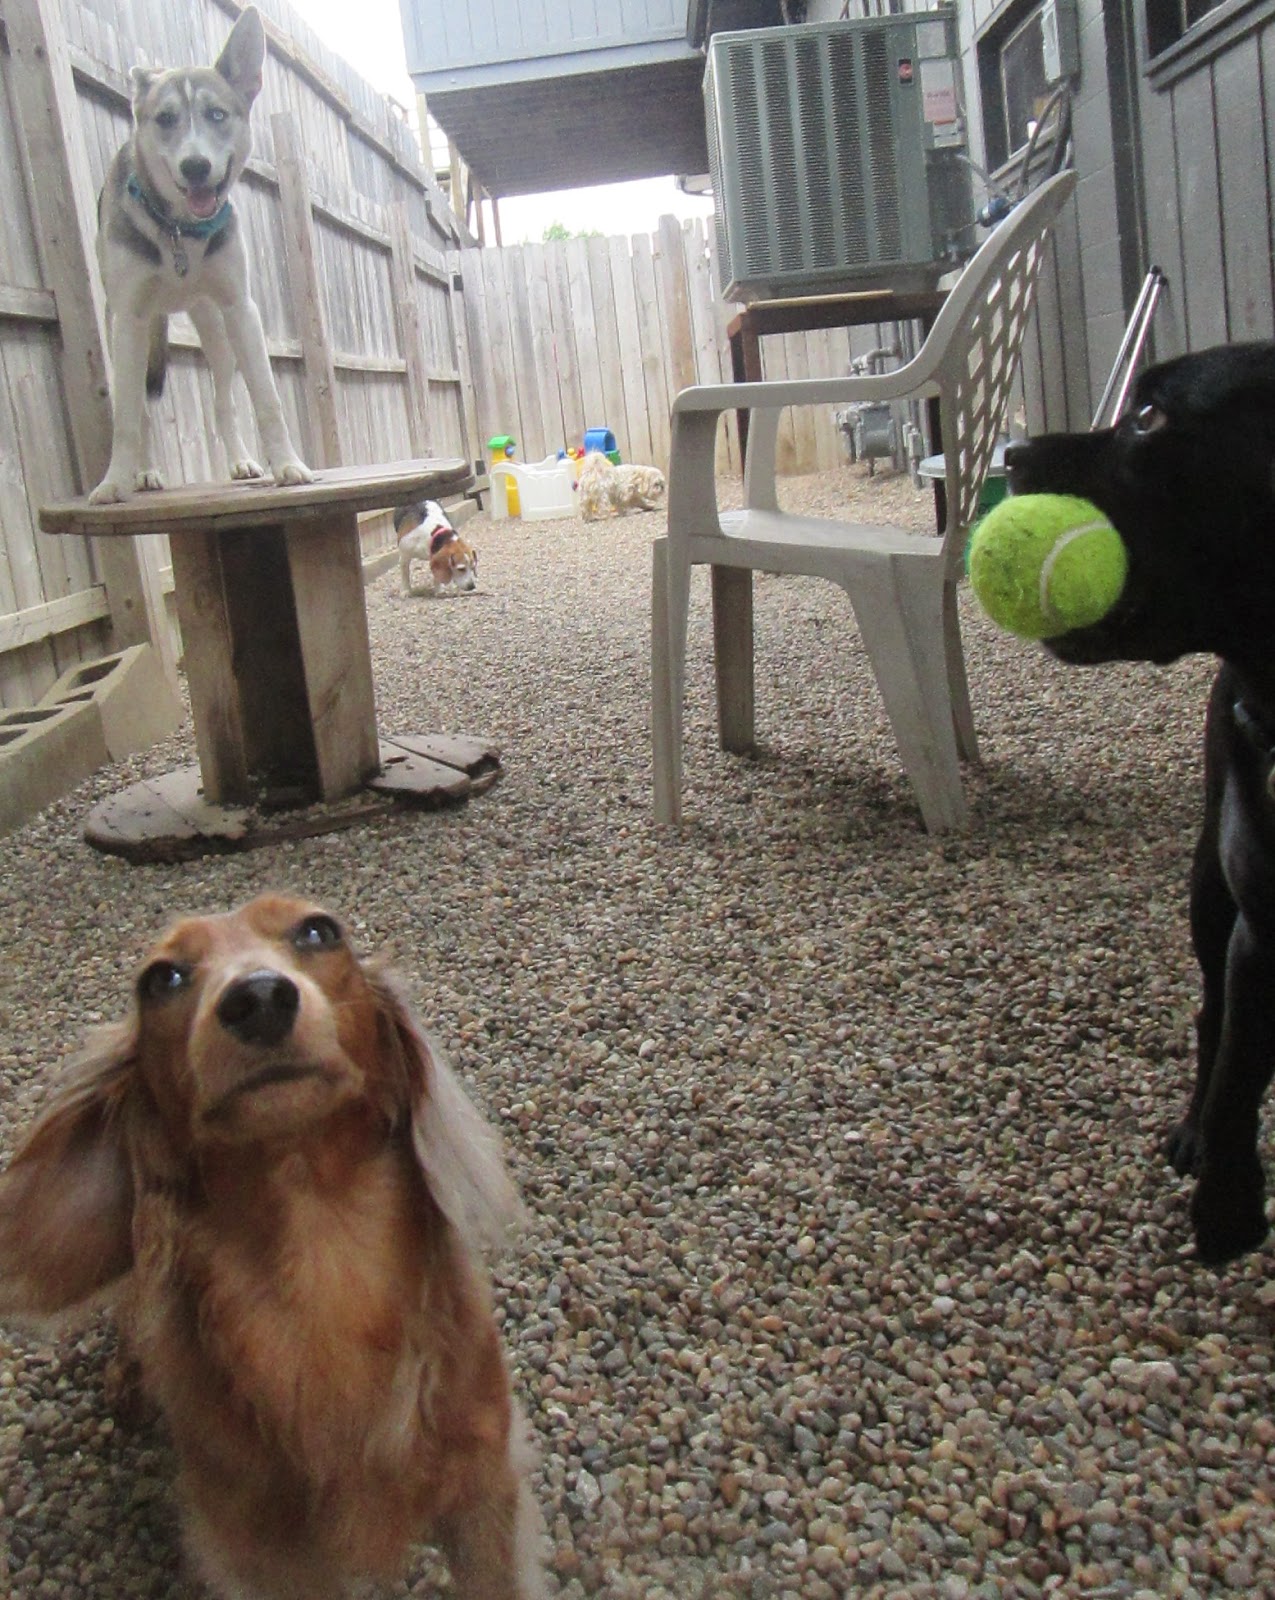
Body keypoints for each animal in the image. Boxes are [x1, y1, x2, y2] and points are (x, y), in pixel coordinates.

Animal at [91, 6, 313, 504]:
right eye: (165, 118)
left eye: (217, 114)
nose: (196, 166)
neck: (178, 231)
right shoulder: (129, 318)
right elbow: (127, 418)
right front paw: (115, 480)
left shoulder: (239, 308)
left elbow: (267, 399)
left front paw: (288, 465)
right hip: (128, 335)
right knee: (140, 407)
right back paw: (145, 473)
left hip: (216, 329)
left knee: (223, 401)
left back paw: (241, 461)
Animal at [1004, 340, 1275, 1265]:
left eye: (1150, 418)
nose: (1007, 455)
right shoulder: (1256, 932)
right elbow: (1234, 1072)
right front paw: (1226, 1206)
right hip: (1208, 891)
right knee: (1208, 1020)